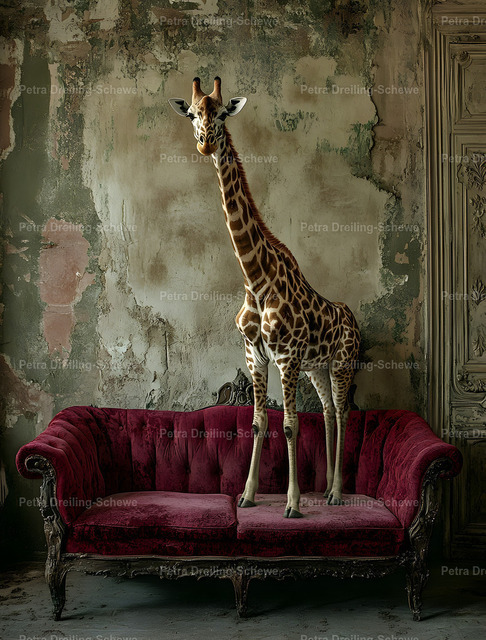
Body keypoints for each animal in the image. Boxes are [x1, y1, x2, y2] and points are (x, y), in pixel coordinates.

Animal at [169, 77, 360, 517]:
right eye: (191, 114)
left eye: (222, 114)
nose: (205, 143)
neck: (254, 278)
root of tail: (352, 317)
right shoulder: (255, 354)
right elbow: (259, 423)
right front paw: (248, 495)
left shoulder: (286, 355)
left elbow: (289, 425)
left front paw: (291, 503)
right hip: (317, 367)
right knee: (327, 411)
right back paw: (327, 488)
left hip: (342, 364)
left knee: (343, 413)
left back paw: (337, 493)